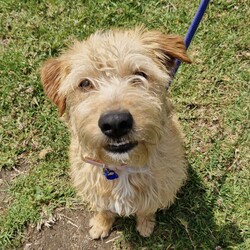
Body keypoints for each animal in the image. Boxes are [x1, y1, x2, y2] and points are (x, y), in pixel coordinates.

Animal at [40, 26, 190, 239]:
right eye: (84, 83)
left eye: (140, 74)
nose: (116, 123)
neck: (122, 166)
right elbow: (104, 210)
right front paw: (100, 225)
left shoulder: (160, 188)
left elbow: (146, 209)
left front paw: (146, 225)